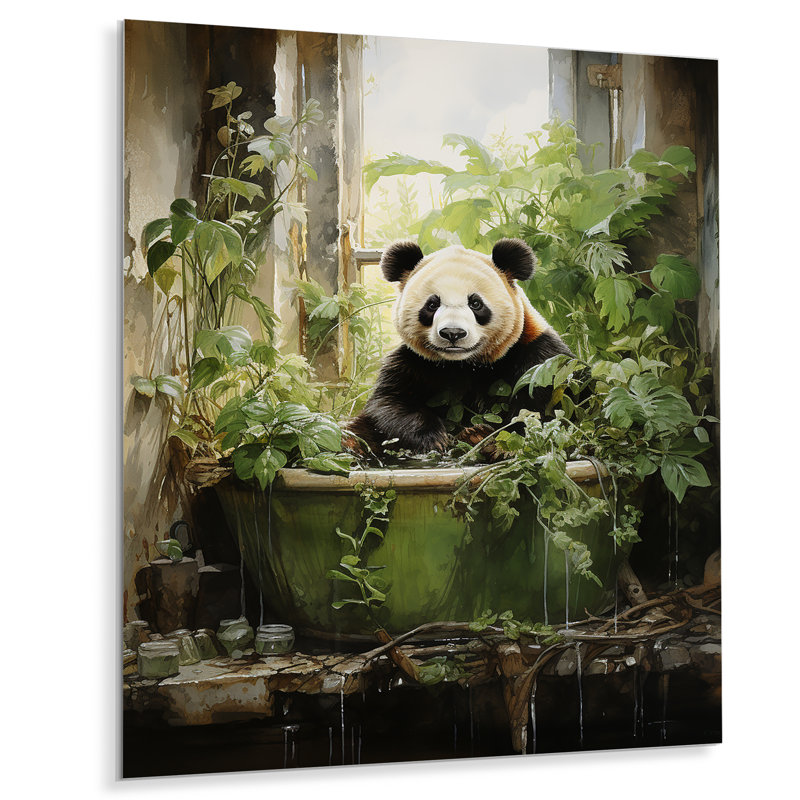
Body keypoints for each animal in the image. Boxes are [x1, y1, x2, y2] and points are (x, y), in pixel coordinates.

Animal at [347, 238, 574, 456]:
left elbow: (543, 405)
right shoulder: (413, 362)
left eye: (475, 303)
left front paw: (501, 445)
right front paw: (434, 438)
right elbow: (389, 404)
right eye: (432, 304)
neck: (464, 364)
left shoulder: (538, 357)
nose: (453, 333)